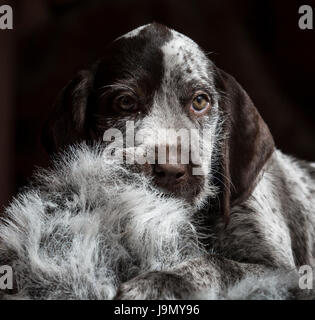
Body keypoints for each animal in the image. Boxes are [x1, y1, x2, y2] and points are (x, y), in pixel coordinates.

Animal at [2, 23, 315, 300]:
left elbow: (218, 264)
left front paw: (158, 283)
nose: (170, 170)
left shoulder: (284, 274)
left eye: (200, 101)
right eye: (125, 102)